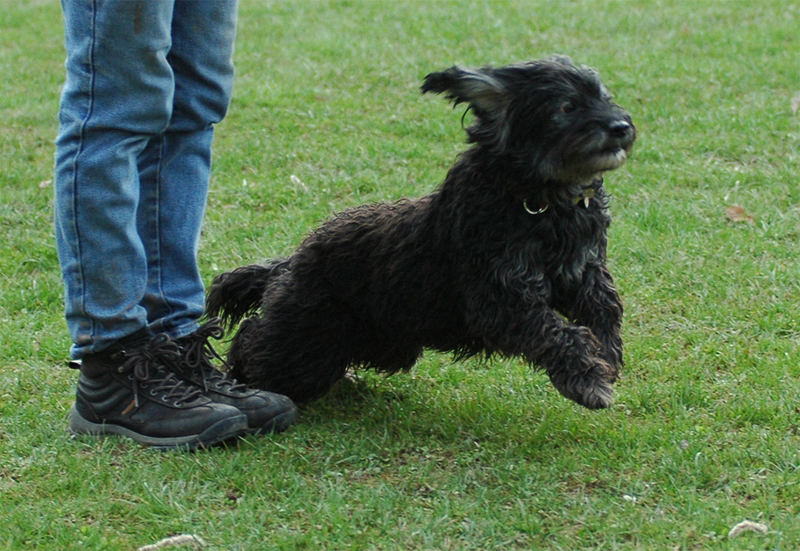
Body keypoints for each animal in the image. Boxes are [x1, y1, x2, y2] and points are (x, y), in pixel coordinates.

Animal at [208, 56, 636, 410]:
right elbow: (557, 331)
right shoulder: (499, 296)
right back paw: (243, 381)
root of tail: (293, 260)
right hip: (305, 334)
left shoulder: (582, 269)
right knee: (256, 340)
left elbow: (605, 306)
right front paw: (587, 379)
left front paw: (606, 354)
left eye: (604, 96)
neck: (540, 198)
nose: (622, 127)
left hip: (381, 342)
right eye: (567, 106)